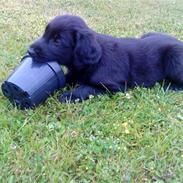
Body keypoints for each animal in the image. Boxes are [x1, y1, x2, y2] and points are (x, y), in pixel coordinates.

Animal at [28, 15, 183, 102]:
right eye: (45, 33)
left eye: (57, 41)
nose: (29, 50)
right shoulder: (75, 73)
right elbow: (68, 79)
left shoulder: (114, 87)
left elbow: (87, 88)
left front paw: (69, 96)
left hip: (174, 58)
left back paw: (169, 86)